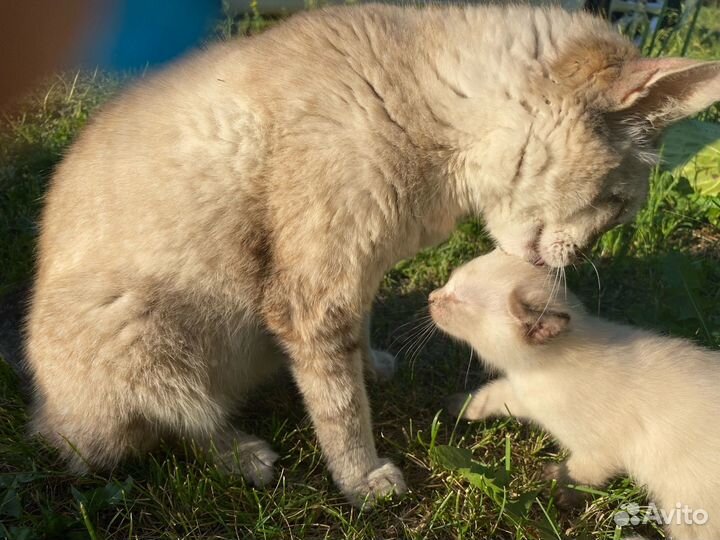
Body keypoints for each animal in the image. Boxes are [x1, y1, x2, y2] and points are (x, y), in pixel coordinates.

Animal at [26, 4, 720, 504]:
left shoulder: (356, 270)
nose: (580, 258)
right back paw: (245, 455)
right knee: (181, 423)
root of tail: (47, 414)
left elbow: (353, 342)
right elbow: (338, 407)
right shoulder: (312, 295)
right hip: (140, 332)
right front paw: (361, 480)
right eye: (618, 203)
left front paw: (371, 366)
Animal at [430, 251, 720, 540]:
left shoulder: (598, 450)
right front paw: (458, 405)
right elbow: (488, 396)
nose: (431, 297)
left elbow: (579, 473)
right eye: (449, 283)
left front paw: (557, 486)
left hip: (689, 511)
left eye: (458, 300)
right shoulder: (521, 395)